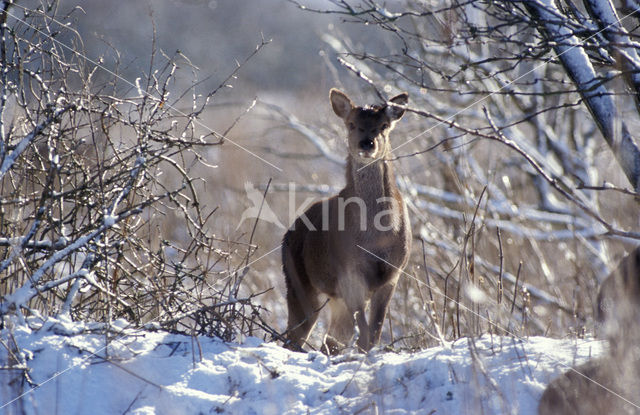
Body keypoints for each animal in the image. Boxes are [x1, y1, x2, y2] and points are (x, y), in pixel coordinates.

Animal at [282, 88, 412, 354]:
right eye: (351, 124)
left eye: (384, 125)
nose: (367, 144)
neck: (377, 237)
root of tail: (287, 234)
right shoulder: (349, 272)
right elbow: (364, 335)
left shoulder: (394, 273)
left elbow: (373, 334)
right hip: (298, 281)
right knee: (293, 336)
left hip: (336, 299)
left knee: (329, 341)